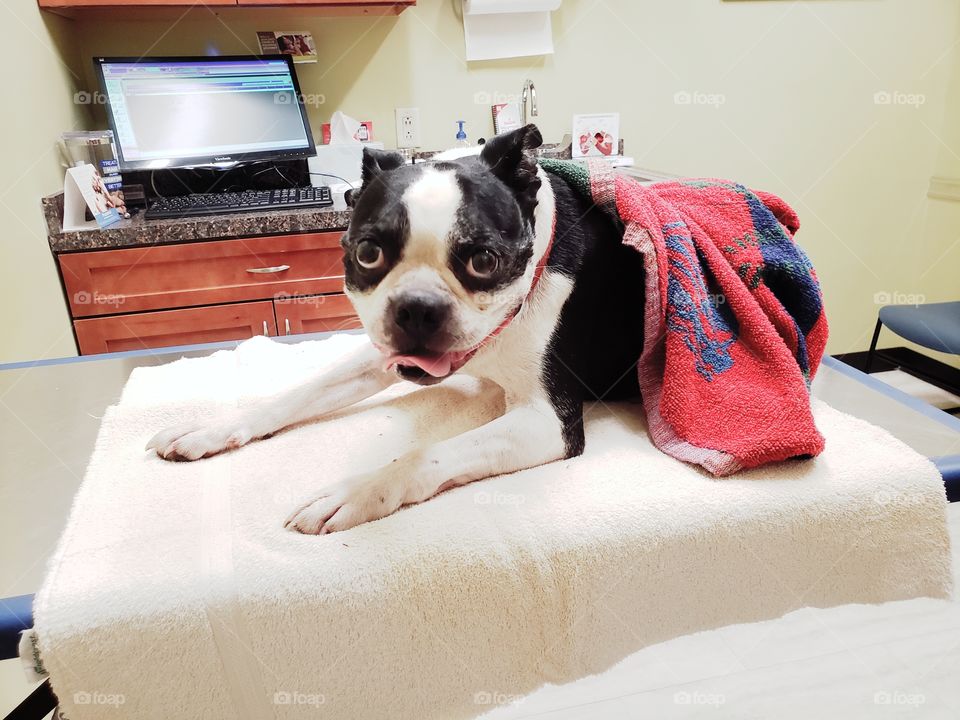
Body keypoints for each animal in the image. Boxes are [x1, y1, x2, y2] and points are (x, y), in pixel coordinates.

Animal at [148, 126, 644, 536]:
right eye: (367, 253)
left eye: (484, 261)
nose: (418, 308)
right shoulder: (380, 351)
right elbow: (301, 392)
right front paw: (212, 428)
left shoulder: (547, 422)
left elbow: (423, 452)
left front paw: (356, 490)